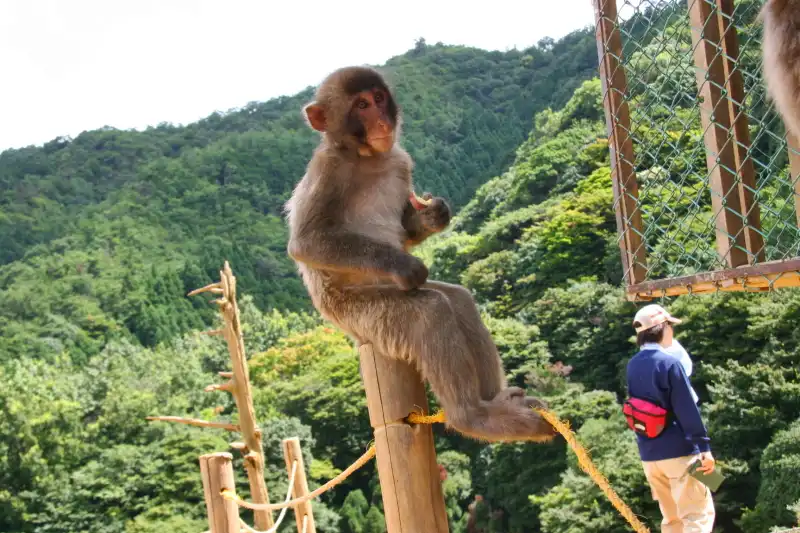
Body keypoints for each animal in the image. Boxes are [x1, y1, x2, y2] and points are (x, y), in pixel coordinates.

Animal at [286, 64, 556, 442]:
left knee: (457, 298)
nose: (381, 120)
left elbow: (406, 226)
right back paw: (473, 417)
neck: (366, 158)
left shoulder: (401, 161)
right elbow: (306, 243)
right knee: (429, 311)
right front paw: (404, 265)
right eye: (361, 105)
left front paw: (433, 215)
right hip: (359, 314)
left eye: (378, 98)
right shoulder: (329, 168)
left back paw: (496, 402)